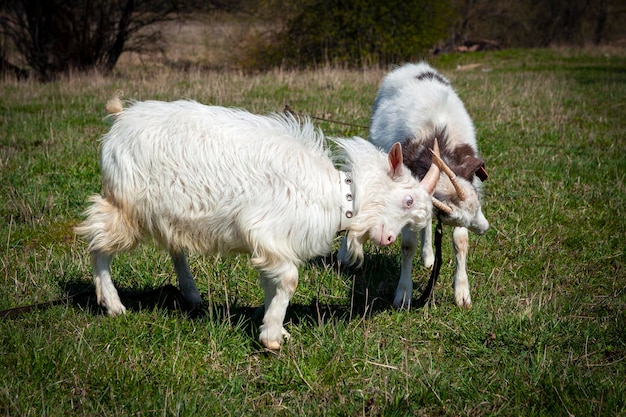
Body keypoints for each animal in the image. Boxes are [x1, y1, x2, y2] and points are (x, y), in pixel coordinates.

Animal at [77, 98, 438, 348]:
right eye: (407, 200)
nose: (389, 239)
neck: (335, 194)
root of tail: (121, 119)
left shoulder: (273, 244)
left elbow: (271, 282)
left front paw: (273, 325)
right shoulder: (265, 230)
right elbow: (289, 278)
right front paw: (272, 338)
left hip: (165, 213)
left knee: (173, 247)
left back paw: (189, 294)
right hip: (127, 207)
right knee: (98, 242)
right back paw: (113, 303)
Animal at [366, 62, 488, 308]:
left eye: (478, 205)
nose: (485, 228)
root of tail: (415, 66)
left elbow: (460, 241)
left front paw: (462, 293)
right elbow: (407, 245)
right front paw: (403, 294)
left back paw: (429, 257)